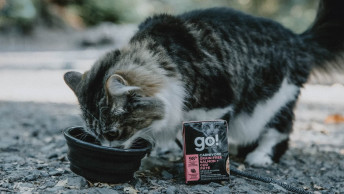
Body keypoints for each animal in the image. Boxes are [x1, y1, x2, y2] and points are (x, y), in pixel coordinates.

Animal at [64, 0, 344, 167]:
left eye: (112, 134)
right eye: (95, 136)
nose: (107, 148)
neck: (165, 58)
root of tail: (298, 39)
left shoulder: (217, 103)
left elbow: (203, 136)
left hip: (264, 107)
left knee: (280, 132)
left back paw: (260, 156)